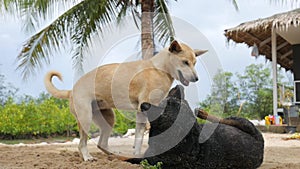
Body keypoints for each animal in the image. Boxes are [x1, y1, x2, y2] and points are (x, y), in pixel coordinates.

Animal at [44, 40, 207, 160]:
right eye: (185, 62)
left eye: (194, 63)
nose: (197, 78)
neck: (158, 68)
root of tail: (71, 90)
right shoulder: (147, 107)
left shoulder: (142, 110)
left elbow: (139, 137)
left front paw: (137, 154)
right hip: (86, 118)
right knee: (82, 143)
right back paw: (87, 157)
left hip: (108, 119)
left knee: (101, 144)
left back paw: (114, 156)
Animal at [125, 86, 264, 169]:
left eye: (163, 108)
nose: (143, 104)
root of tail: (260, 141)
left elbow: (134, 159)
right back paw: (201, 112)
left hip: (242, 122)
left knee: (223, 119)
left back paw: (202, 113)